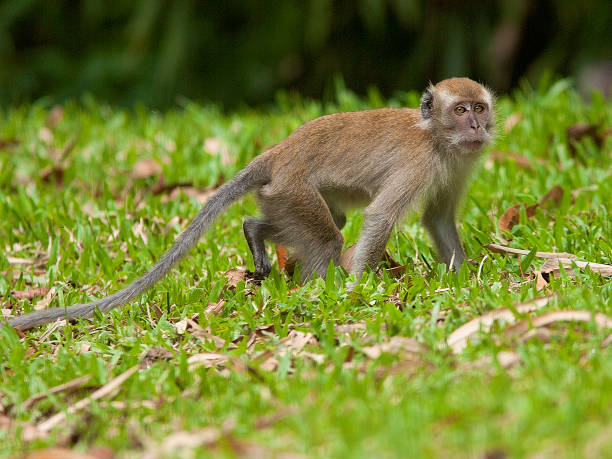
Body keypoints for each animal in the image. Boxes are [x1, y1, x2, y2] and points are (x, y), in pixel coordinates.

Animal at [7, 78, 494, 330]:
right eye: (461, 110)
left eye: (480, 108)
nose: (477, 126)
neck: (437, 138)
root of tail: (276, 154)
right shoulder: (419, 163)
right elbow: (380, 215)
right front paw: (358, 290)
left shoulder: (458, 164)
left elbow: (438, 218)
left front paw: (465, 275)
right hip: (292, 188)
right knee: (328, 239)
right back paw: (312, 285)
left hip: (282, 194)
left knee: (325, 220)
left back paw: (255, 232)